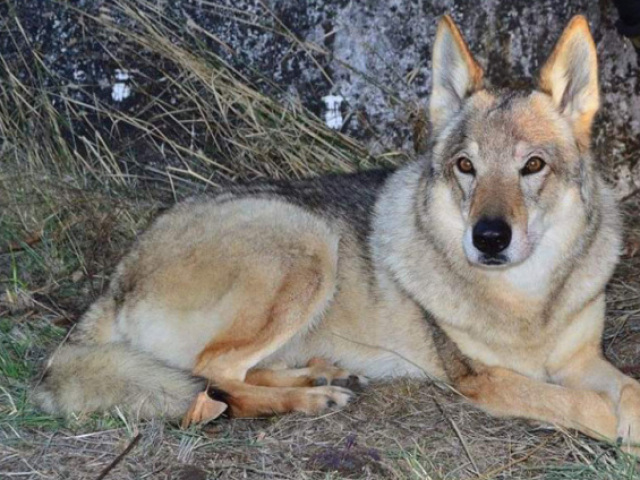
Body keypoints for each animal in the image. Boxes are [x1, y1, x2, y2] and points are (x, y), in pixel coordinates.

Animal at [36, 14, 640, 450]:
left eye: (532, 166)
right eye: (466, 167)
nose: (489, 238)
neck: (529, 302)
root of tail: (116, 279)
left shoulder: (581, 361)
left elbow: (629, 390)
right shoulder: (482, 378)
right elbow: (585, 406)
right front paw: (616, 432)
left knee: (234, 372)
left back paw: (322, 377)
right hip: (307, 244)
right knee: (213, 379)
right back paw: (310, 399)